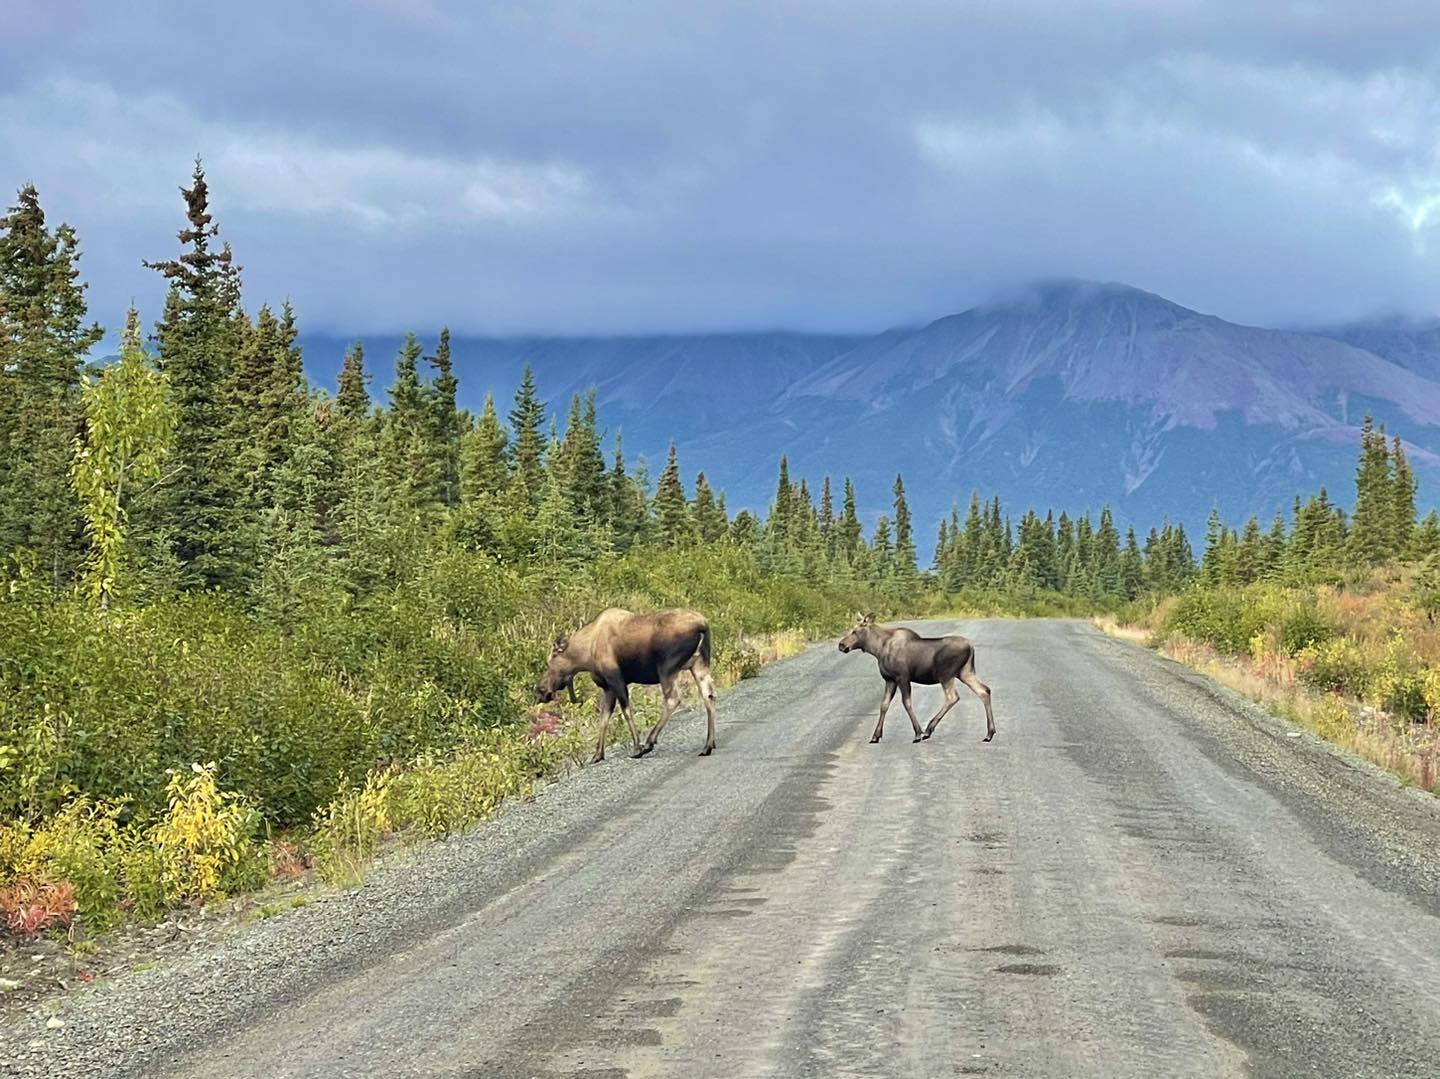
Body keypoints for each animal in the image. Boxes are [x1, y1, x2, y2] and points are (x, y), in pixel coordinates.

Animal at [536, 607, 718, 763]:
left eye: (549, 661)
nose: (540, 690)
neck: (586, 655)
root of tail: (703, 626)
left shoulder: (615, 679)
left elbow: (626, 711)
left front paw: (637, 747)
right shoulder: (607, 688)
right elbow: (604, 718)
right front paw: (597, 755)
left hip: (667, 668)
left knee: (673, 699)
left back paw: (649, 742)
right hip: (699, 664)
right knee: (709, 695)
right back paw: (708, 745)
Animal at [837, 613, 995, 744]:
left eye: (855, 631)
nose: (841, 645)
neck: (877, 649)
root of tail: (971, 647)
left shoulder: (902, 677)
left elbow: (906, 703)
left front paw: (918, 733)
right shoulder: (890, 680)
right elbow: (884, 705)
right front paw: (875, 736)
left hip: (946, 674)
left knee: (953, 697)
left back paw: (928, 730)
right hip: (965, 672)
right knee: (984, 691)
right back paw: (989, 733)